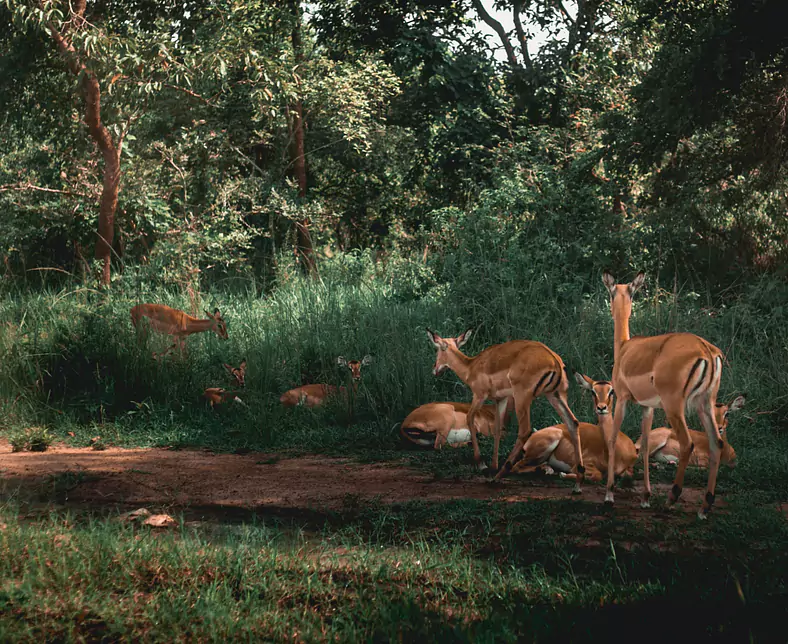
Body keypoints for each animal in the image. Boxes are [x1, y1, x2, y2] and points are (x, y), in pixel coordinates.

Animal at [424, 330, 584, 490]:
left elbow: (470, 418)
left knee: (525, 430)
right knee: (573, 423)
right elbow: (497, 429)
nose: (435, 368)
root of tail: (554, 361)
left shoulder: (479, 396)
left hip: (522, 398)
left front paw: (482, 465)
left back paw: (498, 477)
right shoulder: (501, 399)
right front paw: (492, 466)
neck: (471, 366)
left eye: (439, 348)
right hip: (555, 395)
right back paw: (577, 484)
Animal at [608, 272, 728, 520]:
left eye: (611, 292)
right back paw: (704, 507)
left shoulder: (621, 399)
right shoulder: (648, 407)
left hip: (675, 407)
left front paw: (609, 495)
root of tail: (706, 350)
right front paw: (645, 497)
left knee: (688, 443)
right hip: (705, 404)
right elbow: (644, 446)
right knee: (717, 443)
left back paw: (671, 500)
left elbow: (613, 438)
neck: (625, 349)